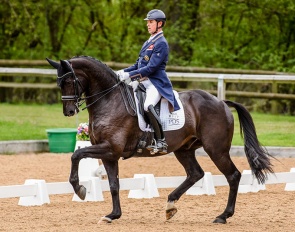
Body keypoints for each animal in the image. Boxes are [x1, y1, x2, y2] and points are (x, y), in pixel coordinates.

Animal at [46, 55, 276, 224]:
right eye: (59, 83)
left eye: (69, 81)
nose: (69, 111)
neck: (109, 100)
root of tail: (220, 102)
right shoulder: (109, 154)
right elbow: (113, 184)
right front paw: (113, 215)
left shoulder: (110, 149)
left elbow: (76, 155)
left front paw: (80, 189)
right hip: (184, 149)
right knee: (196, 174)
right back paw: (170, 206)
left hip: (216, 150)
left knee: (233, 176)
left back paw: (222, 216)